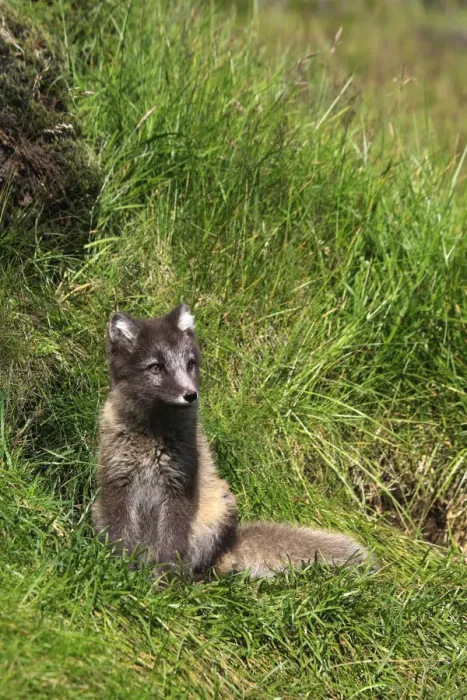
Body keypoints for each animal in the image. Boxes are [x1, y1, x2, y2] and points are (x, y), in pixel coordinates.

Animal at [92, 304, 370, 579]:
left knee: (207, 566)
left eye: (190, 364)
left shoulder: (179, 486)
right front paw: (120, 573)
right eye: (156, 367)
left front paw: (164, 583)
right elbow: (122, 535)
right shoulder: (118, 482)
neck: (153, 433)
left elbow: (171, 543)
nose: (191, 395)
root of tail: (231, 544)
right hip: (98, 509)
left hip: (220, 507)